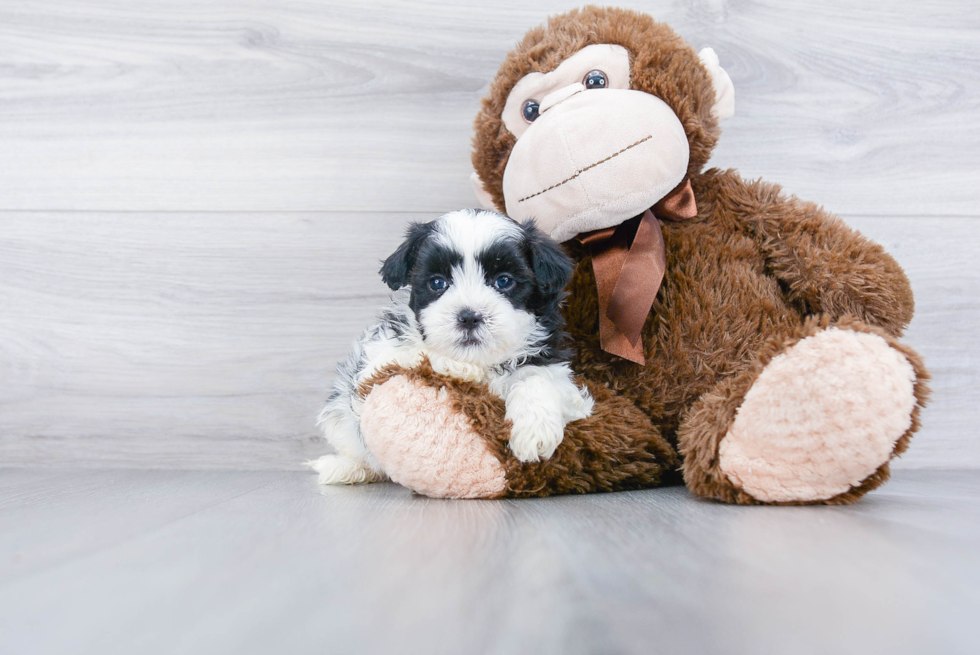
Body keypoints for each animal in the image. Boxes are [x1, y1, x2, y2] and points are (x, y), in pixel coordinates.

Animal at [310, 208, 592, 484]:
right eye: (437, 283)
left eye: (503, 281)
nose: (469, 317)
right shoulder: (376, 362)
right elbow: (416, 354)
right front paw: (462, 368)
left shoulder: (555, 370)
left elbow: (538, 379)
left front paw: (535, 430)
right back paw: (345, 468)